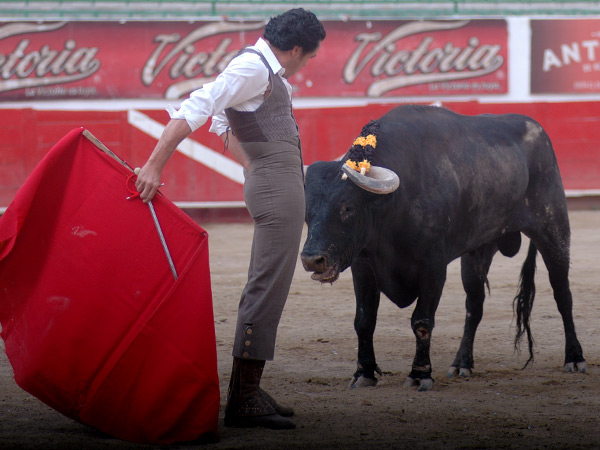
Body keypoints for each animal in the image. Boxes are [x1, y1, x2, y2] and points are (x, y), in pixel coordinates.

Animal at [302, 104, 584, 390]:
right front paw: (364, 373)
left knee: (563, 295)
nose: (312, 259)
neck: (396, 204)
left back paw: (574, 358)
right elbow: (364, 320)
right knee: (475, 305)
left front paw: (420, 374)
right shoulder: (363, 266)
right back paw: (462, 363)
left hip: (553, 229)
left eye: (348, 207)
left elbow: (422, 321)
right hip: (477, 252)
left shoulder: (433, 267)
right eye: (308, 210)